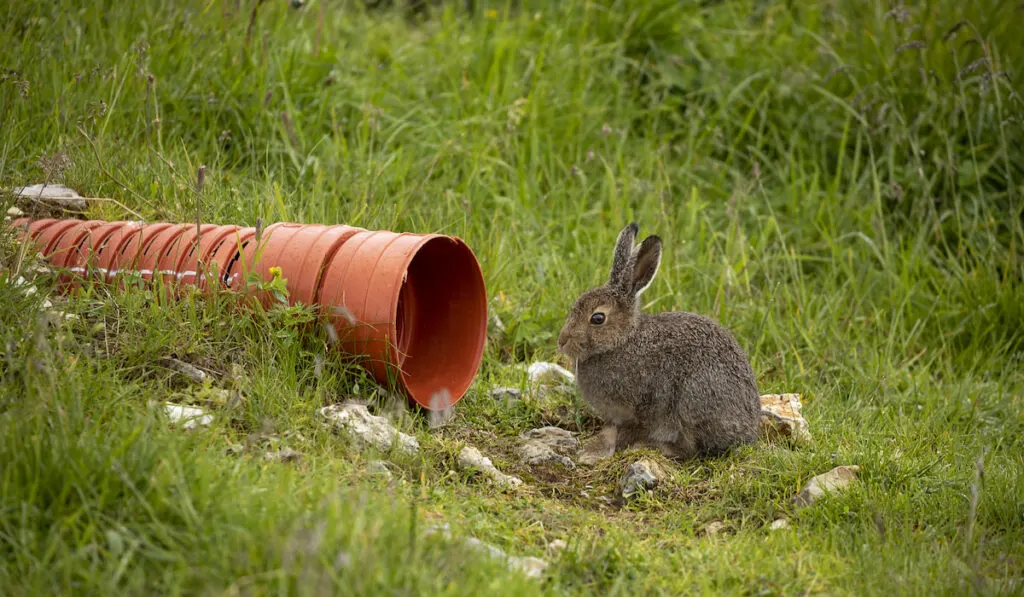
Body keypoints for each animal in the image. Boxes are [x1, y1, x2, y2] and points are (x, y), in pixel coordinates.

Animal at [557, 222, 765, 464]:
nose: (562, 341)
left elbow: (625, 432)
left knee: (693, 449)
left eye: (597, 318)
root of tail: (748, 432)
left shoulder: (642, 407)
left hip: (693, 401)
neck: (622, 341)